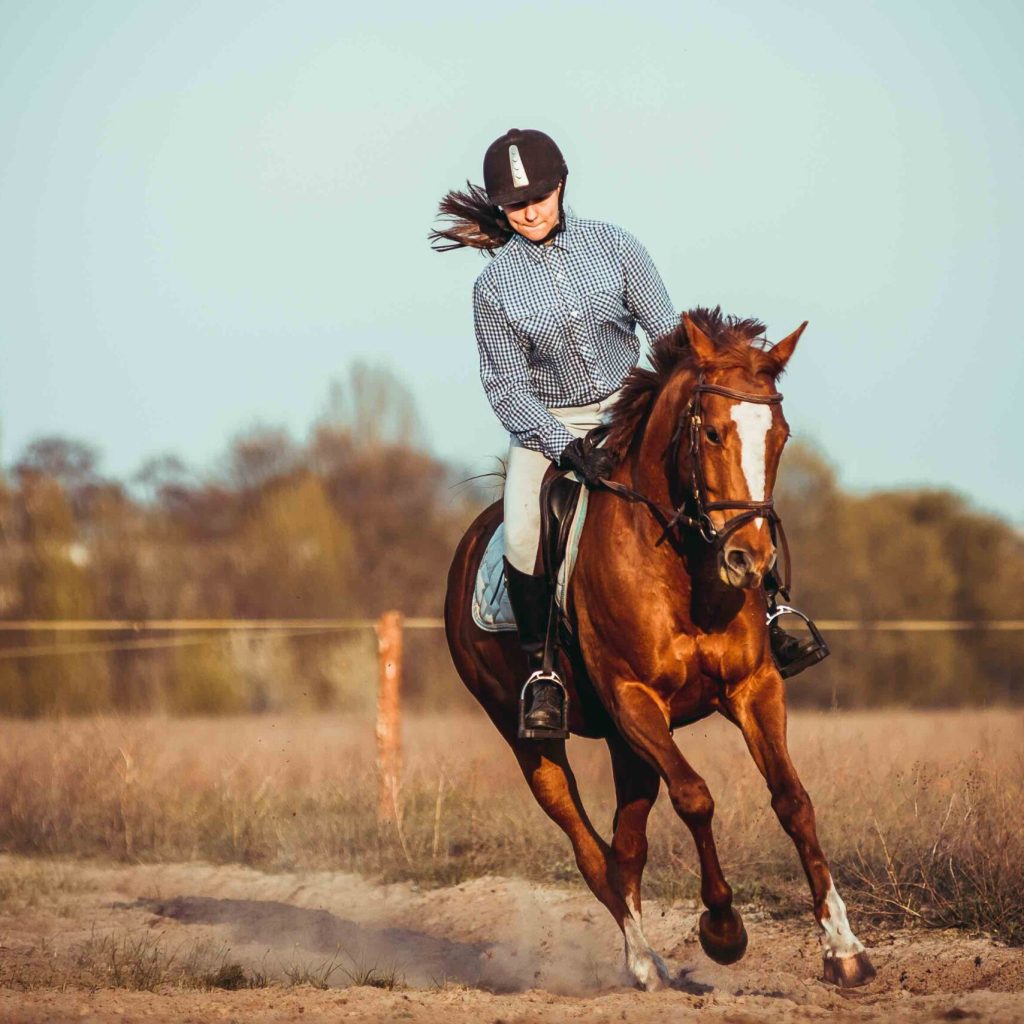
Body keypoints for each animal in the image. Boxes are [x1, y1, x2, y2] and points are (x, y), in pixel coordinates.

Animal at [444, 307, 876, 987]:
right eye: (714, 434)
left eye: (780, 437)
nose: (749, 561)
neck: (680, 562)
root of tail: (467, 551)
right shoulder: (635, 699)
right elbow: (696, 797)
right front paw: (723, 930)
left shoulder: (754, 688)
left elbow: (793, 800)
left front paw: (844, 948)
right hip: (535, 744)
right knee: (591, 850)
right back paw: (644, 962)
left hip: (628, 747)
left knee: (627, 845)